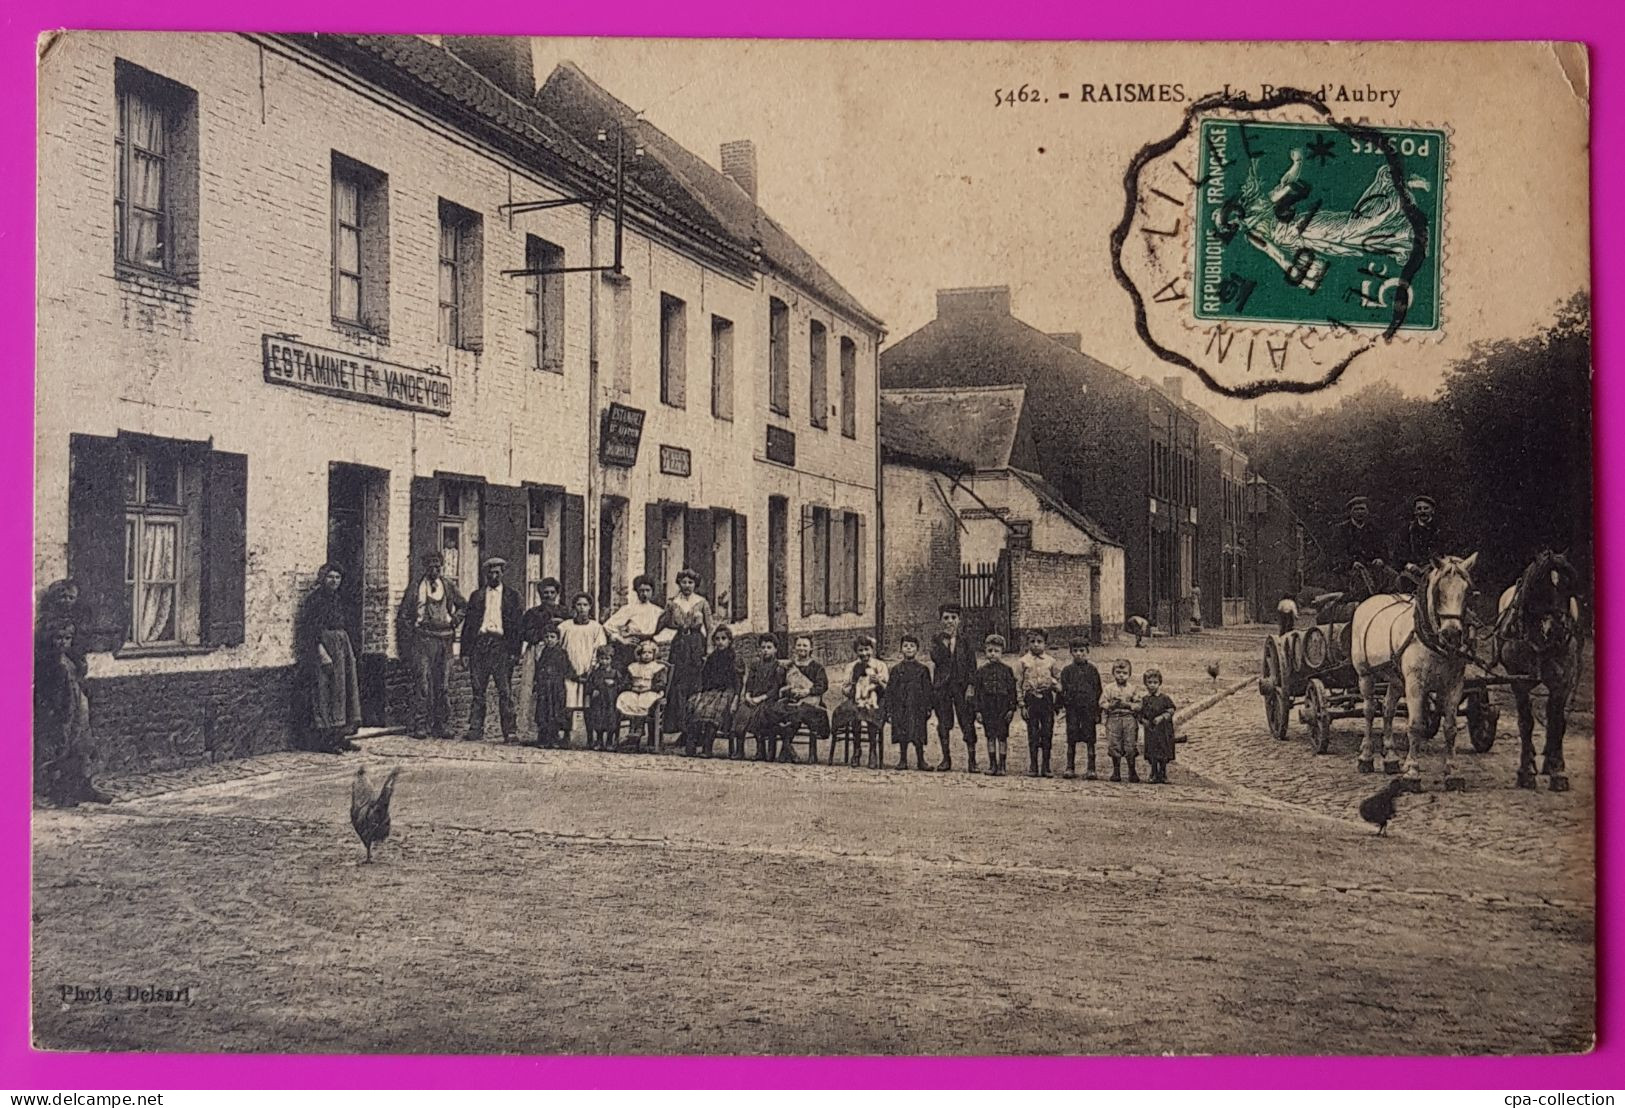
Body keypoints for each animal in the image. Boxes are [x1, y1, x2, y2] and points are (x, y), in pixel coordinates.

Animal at [1352, 552, 1482, 786]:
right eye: (1438, 591)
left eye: (1468, 591)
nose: (1451, 633)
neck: (1435, 642)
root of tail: (1370, 599)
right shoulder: (1415, 684)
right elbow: (1415, 725)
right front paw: (1412, 771)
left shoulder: (1454, 685)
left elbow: (1450, 728)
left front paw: (1452, 770)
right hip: (1365, 675)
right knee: (1369, 710)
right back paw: (1366, 757)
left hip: (1395, 679)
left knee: (1387, 709)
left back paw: (1391, 758)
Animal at [1488, 549, 1579, 789]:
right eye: (1541, 585)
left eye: (1568, 586)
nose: (1558, 631)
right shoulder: (1518, 681)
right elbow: (1525, 722)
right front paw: (1526, 771)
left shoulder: (1561, 682)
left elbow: (1555, 721)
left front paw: (1557, 771)